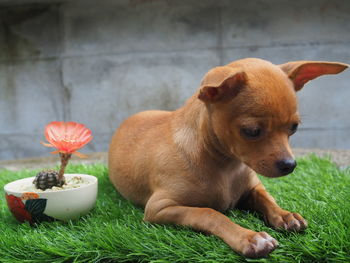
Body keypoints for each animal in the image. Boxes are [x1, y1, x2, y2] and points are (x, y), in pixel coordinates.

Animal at [108, 58, 348, 258]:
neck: (226, 165)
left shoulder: (253, 187)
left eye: (294, 127)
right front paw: (250, 238)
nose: (290, 165)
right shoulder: (158, 208)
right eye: (251, 131)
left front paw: (285, 215)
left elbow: (267, 199)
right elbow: (210, 213)